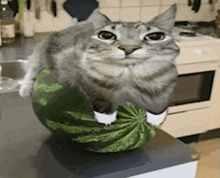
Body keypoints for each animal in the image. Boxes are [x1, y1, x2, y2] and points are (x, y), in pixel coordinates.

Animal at [19, 4, 180, 126]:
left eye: (155, 37)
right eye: (107, 36)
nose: (128, 48)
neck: (129, 76)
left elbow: (159, 101)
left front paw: (155, 117)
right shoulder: (79, 71)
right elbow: (98, 93)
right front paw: (106, 117)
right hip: (43, 53)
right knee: (32, 69)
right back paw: (25, 89)